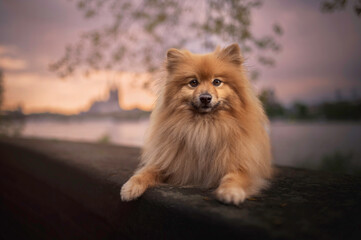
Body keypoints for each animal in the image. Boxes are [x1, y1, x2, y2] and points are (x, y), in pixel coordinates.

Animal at [120, 43, 270, 204]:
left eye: (216, 82)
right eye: (193, 83)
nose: (205, 97)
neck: (204, 127)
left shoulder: (244, 166)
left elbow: (236, 176)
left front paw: (231, 191)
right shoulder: (169, 162)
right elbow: (146, 172)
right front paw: (131, 186)